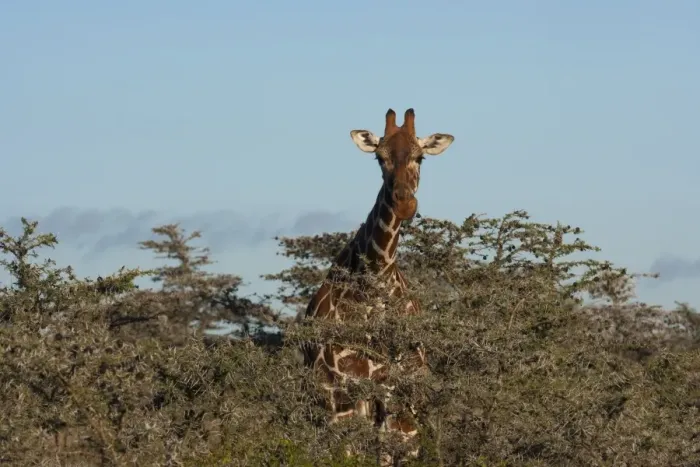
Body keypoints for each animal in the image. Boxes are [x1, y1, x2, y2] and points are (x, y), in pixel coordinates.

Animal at [302, 108, 455, 464]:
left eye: (420, 157)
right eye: (379, 158)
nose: (404, 204)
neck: (376, 283)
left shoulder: (396, 391)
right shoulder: (343, 389)